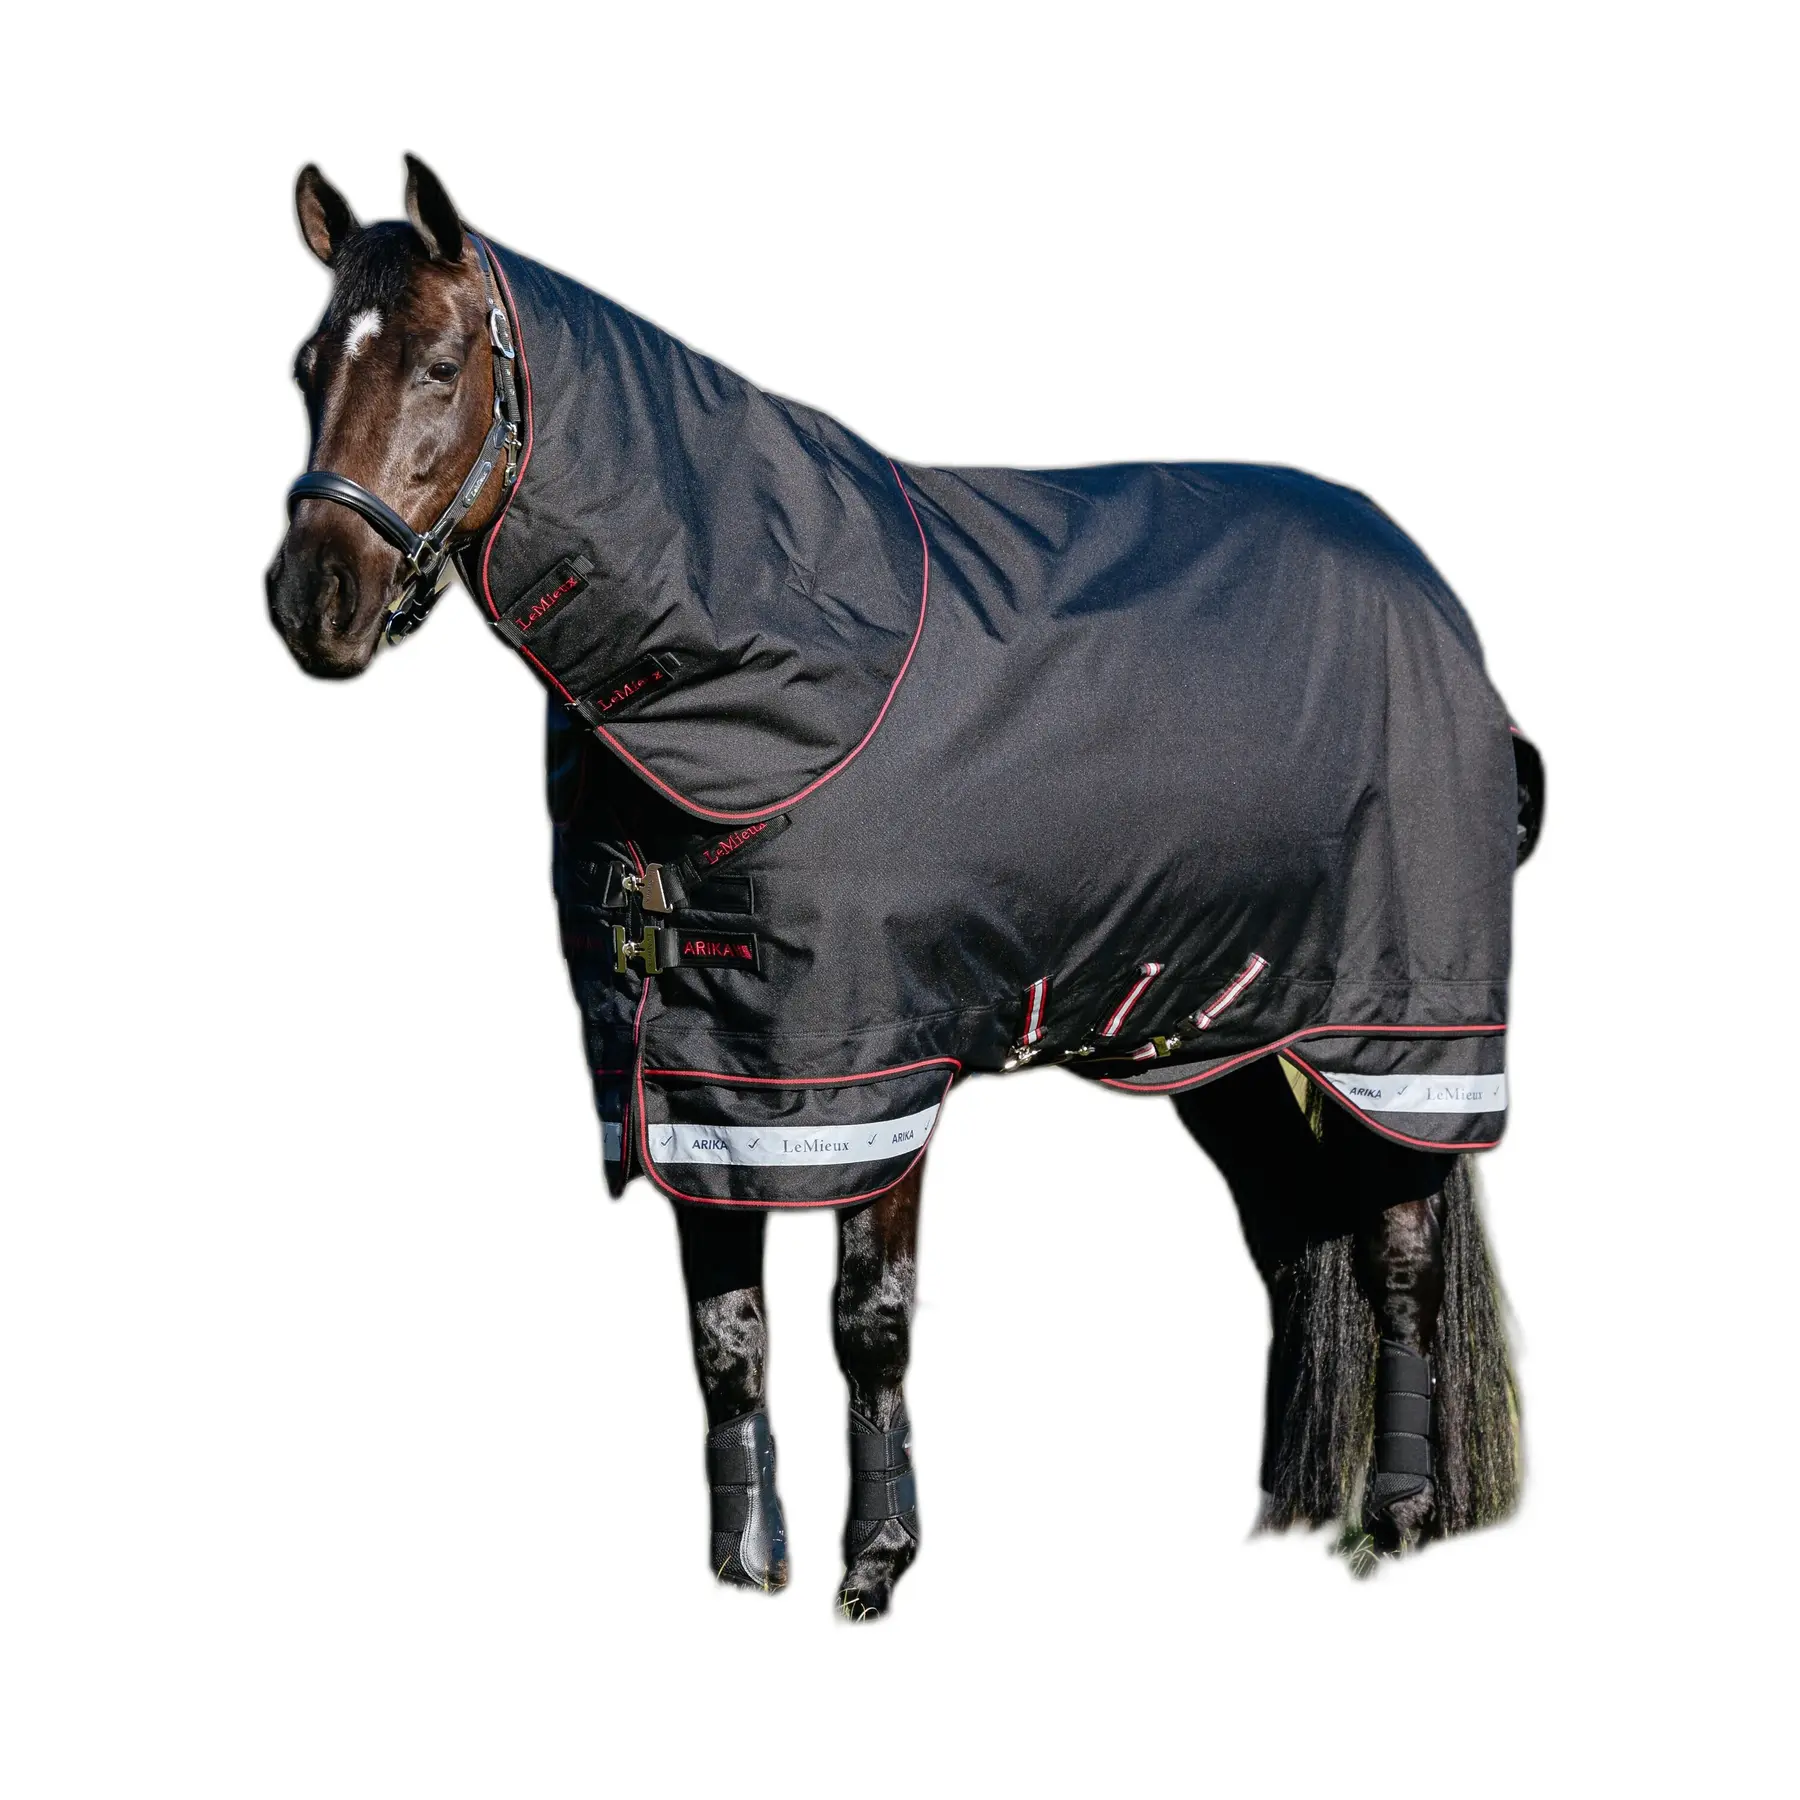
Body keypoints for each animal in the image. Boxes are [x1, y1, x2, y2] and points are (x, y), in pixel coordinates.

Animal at [267, 156, 1538, 1617]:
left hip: (1401, 1033)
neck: (766, 664)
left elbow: (864, 1323)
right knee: (1292, 1236)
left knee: (1396, 1247)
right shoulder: (694, 1082)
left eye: (438, 361)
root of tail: (1435, 601)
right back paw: (1290, 1513)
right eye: (307, 364)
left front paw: (873, 1563)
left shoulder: (871, 1076)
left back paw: (1398, 1512)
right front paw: (746, 1568)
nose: (312, 598)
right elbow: (727, 1335)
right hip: (1220, 1035)